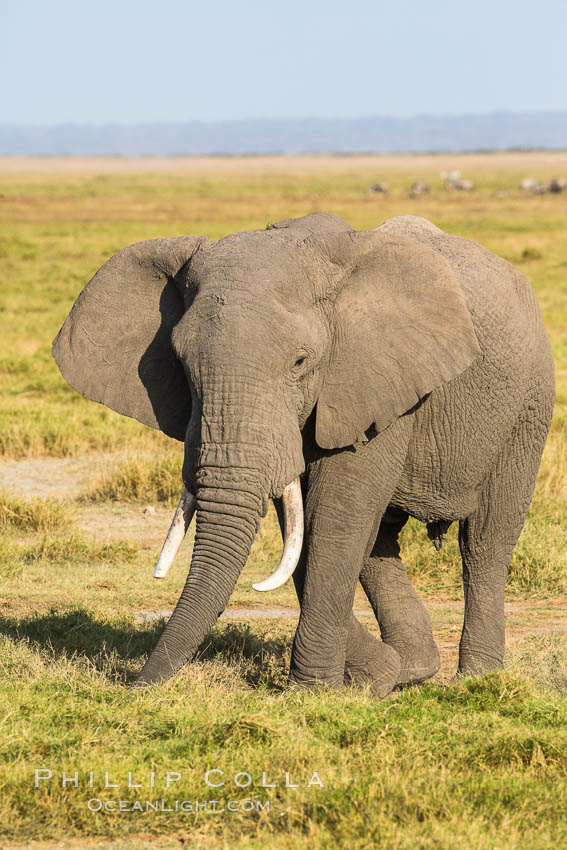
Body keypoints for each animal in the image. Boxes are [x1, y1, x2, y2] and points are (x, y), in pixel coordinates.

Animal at [52, 212, 556, 696]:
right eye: (180, 362)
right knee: (379, 541)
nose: (134, 686)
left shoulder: (369, 376)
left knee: (484, 542)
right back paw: (412, 671)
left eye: (300, 362)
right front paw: (373, 678)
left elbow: (332, 517)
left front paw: (314, 692)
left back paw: (475, 680)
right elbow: (302, 526)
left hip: (528, 408)